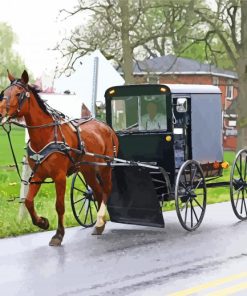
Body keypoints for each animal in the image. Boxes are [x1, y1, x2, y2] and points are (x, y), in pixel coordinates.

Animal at [0, 70, 118, 246]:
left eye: (18, 94)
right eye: (4, 93)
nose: (0, 113)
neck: (46, 135)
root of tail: (106, 126)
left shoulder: (59, 177)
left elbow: (60, 205)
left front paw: (58, 234)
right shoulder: (38, 175)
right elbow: (28, 201)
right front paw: (42, 222)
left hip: (105, 166)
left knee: (106, 190)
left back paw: (99, 220)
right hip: (88, 169)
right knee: (97, 191)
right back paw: (99, 224)